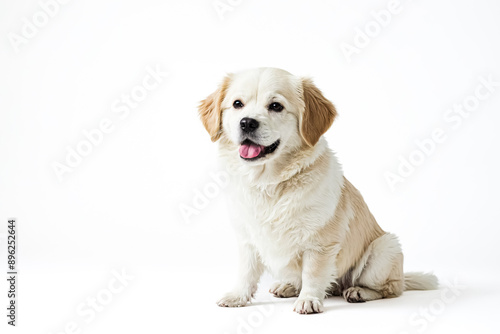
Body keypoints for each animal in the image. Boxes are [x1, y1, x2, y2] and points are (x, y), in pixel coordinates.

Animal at [197, 67, 436, 314]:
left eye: (276, 106)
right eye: (237, 104)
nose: (247, 123)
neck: (269, 183)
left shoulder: (320, 242)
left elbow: (312, 273)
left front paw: (308, 299)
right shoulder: (247, 238)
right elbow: (246, 271)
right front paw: (238, 296)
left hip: (385, 248)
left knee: (391, 288)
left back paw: (358, 292)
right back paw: (288, 286)